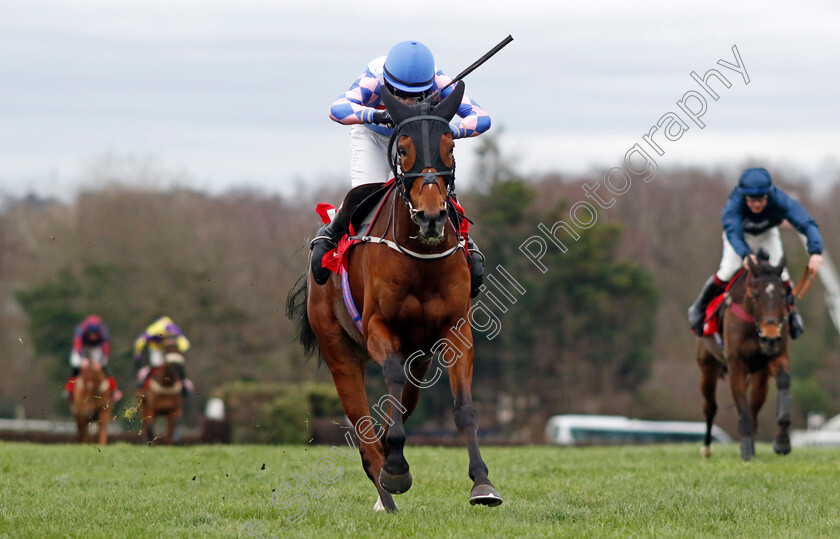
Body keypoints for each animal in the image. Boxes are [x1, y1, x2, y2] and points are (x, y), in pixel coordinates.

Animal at [288, 81, 502, 516]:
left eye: (450, 145)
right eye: (402, 148)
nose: (432, 216)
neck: (420, 259)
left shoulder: (457, 332)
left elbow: (464, 407)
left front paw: (482, 483)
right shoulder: (378, 328)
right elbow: (388, 379)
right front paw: (397, 471)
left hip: (420, 358)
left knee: (400, 404)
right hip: (339, 353)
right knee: (365, 435)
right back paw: (386, 491)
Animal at [700, 251, 792, 462]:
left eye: (784, 295)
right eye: (755, 295)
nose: (770, 337)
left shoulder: (776, 356)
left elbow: (783, 381)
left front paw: (782, 441)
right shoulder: (736, 363)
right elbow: (742, 407)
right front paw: (746, 451)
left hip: (760, 374)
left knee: (755, 407)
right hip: (707, 365)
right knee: (710, 407)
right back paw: (707, 448)